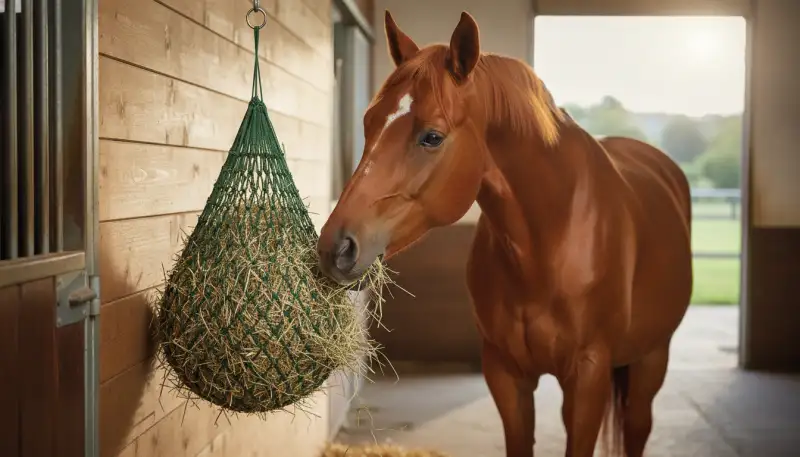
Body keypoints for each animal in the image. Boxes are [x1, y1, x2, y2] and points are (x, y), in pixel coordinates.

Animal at [317, 11, 693, 457]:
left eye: (432, 136)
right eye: (368, 124)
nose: (335, 248)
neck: (549, 239)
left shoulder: (589, 375)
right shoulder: (505, 374)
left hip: (652, 358)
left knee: (638, 425)